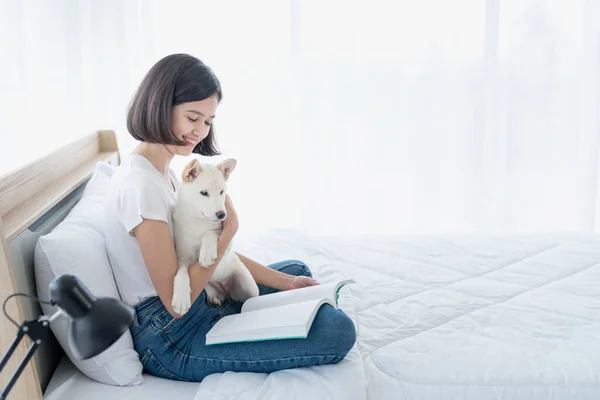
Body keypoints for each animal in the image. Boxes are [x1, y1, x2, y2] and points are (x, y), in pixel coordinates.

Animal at [171, 158, 260, 314]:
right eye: (204, 193)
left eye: (221, 192)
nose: (222, 215)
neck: (198, 221)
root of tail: (226, 291)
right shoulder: (183, 256)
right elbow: (181, 273)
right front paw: (181, 298)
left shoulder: (227, 241)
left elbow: (210, 233)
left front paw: (206, 254)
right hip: (209, 286)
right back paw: (214, 298)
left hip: (249, 286)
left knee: (250, 299)